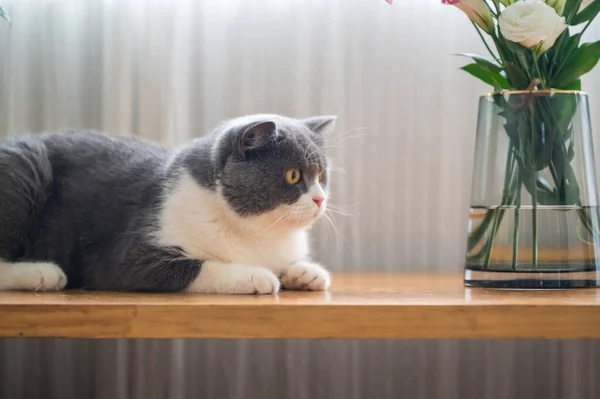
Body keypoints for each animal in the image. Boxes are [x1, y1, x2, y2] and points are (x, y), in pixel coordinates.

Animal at [0, 114, 336, 296]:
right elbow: (195, 267)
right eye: (293, 176)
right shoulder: (128, 257)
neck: (257, 233)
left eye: (321, 175)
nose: (319, 198)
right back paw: (42, 274)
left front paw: (305, 273)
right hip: (27, 163)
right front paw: (256, 276)